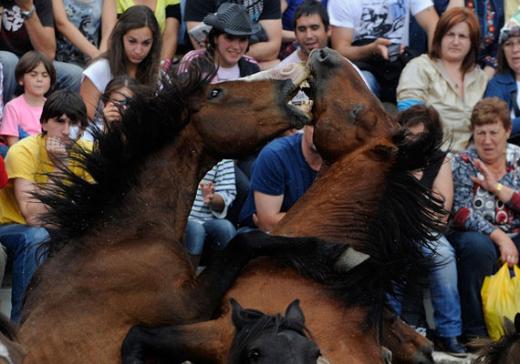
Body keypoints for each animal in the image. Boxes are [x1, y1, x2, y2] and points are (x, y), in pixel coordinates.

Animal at [17, 67, 308, 362]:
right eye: (215, 92)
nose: (286, 83)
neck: (124, 236)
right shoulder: (188, 307)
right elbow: (247, 240)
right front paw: (317, 252)